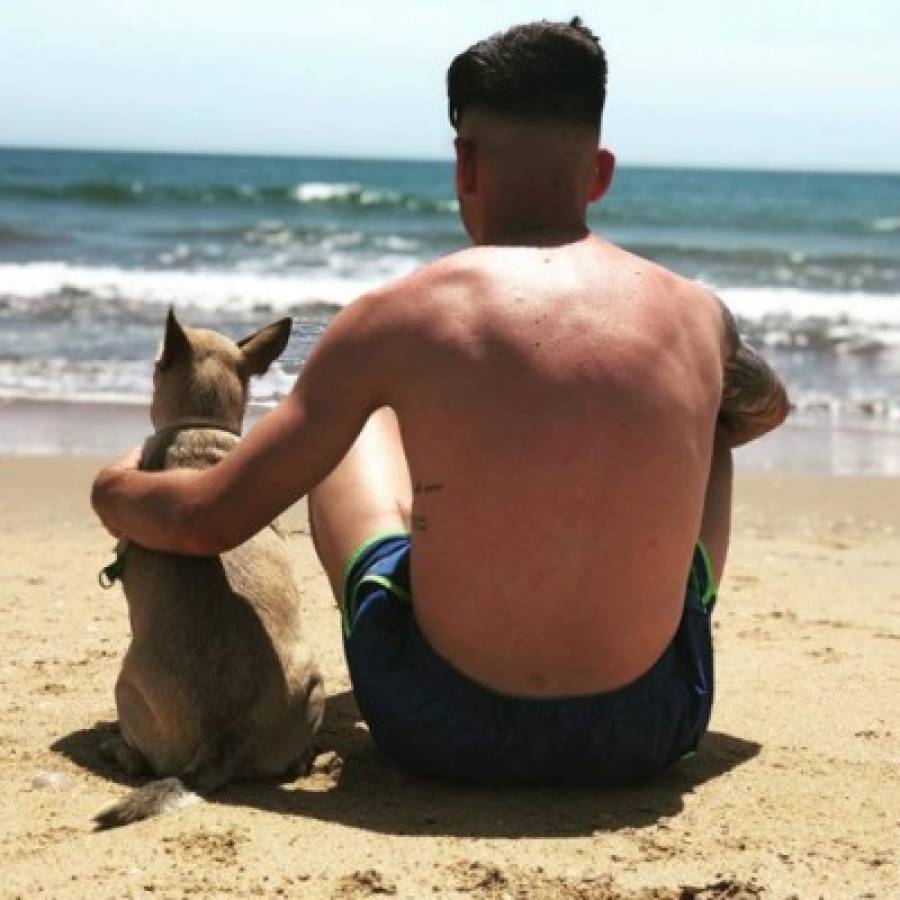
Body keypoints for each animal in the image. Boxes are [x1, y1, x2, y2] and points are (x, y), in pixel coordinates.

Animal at [95, 308, 324, 828]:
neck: (200, 427)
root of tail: (226, 736)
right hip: (314, 684)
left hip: (125, 685)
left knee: (141, 758)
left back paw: (117, 748)